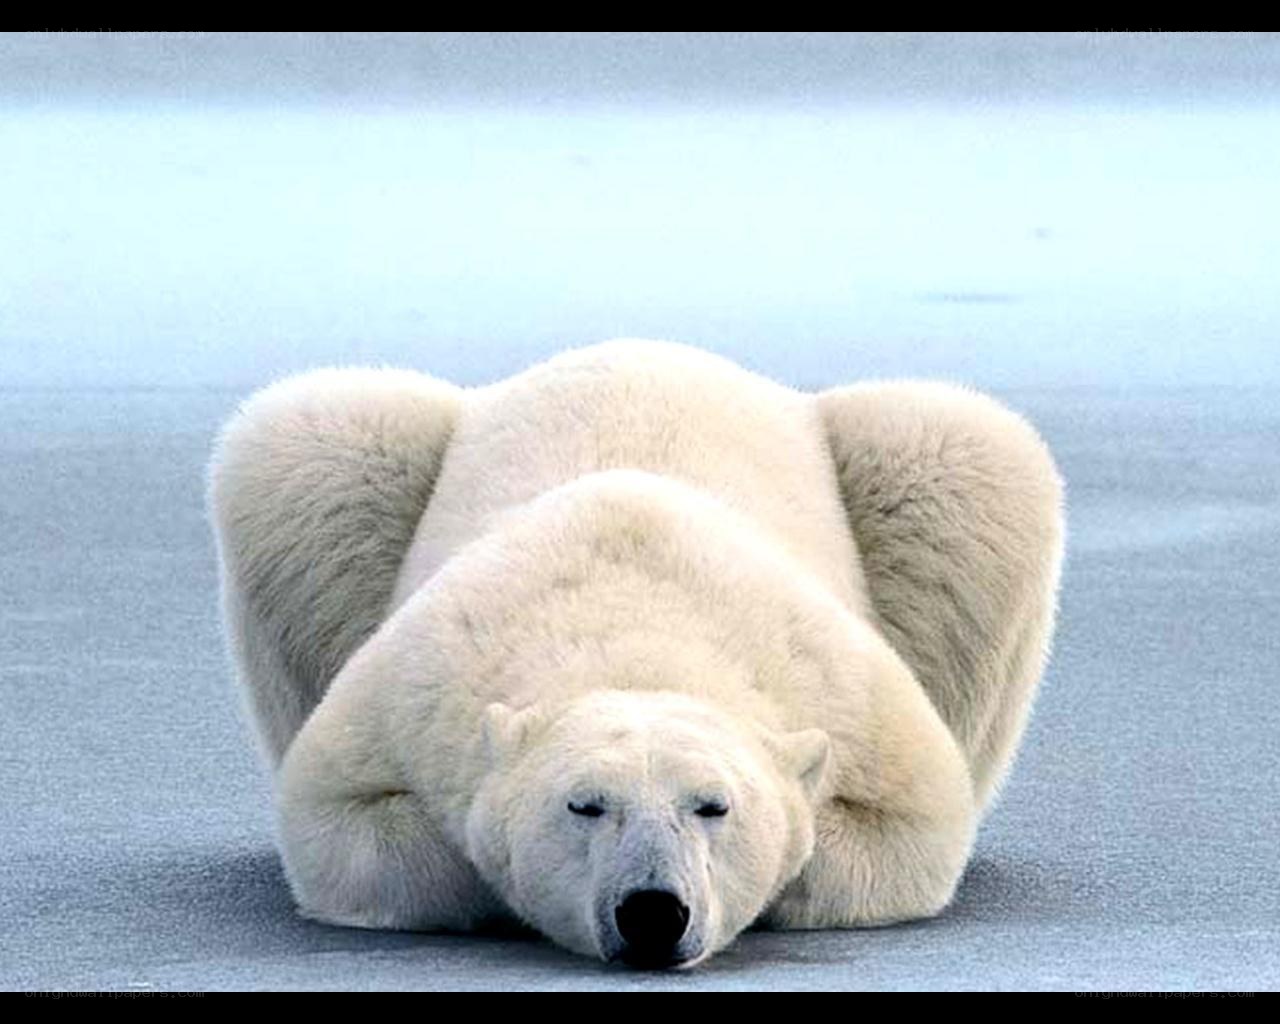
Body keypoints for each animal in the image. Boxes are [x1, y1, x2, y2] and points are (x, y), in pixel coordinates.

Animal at [207, 338, 1065, 968]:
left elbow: (913, 825)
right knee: (310, 441)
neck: (639, 631)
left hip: (919, 474)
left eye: (713, 805)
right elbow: (339, 821)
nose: (653, 912)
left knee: (960, 452)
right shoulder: (420, 686)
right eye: (585, 804)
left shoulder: (843, 692)